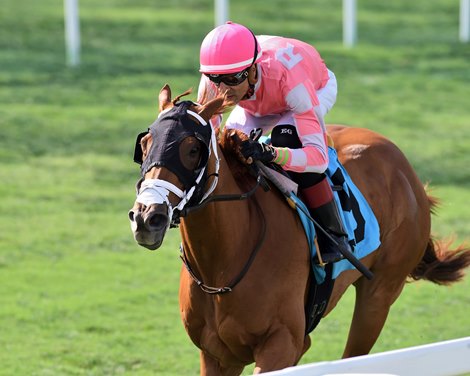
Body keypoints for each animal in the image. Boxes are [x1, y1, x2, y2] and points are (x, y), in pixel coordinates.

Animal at [129, 86, 470, 376]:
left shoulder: (282, 345)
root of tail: (404, 168)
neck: (223, 266)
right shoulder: (217, 355)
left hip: (379, 294)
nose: (148, 217)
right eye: (144, 145)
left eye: (192, 149)